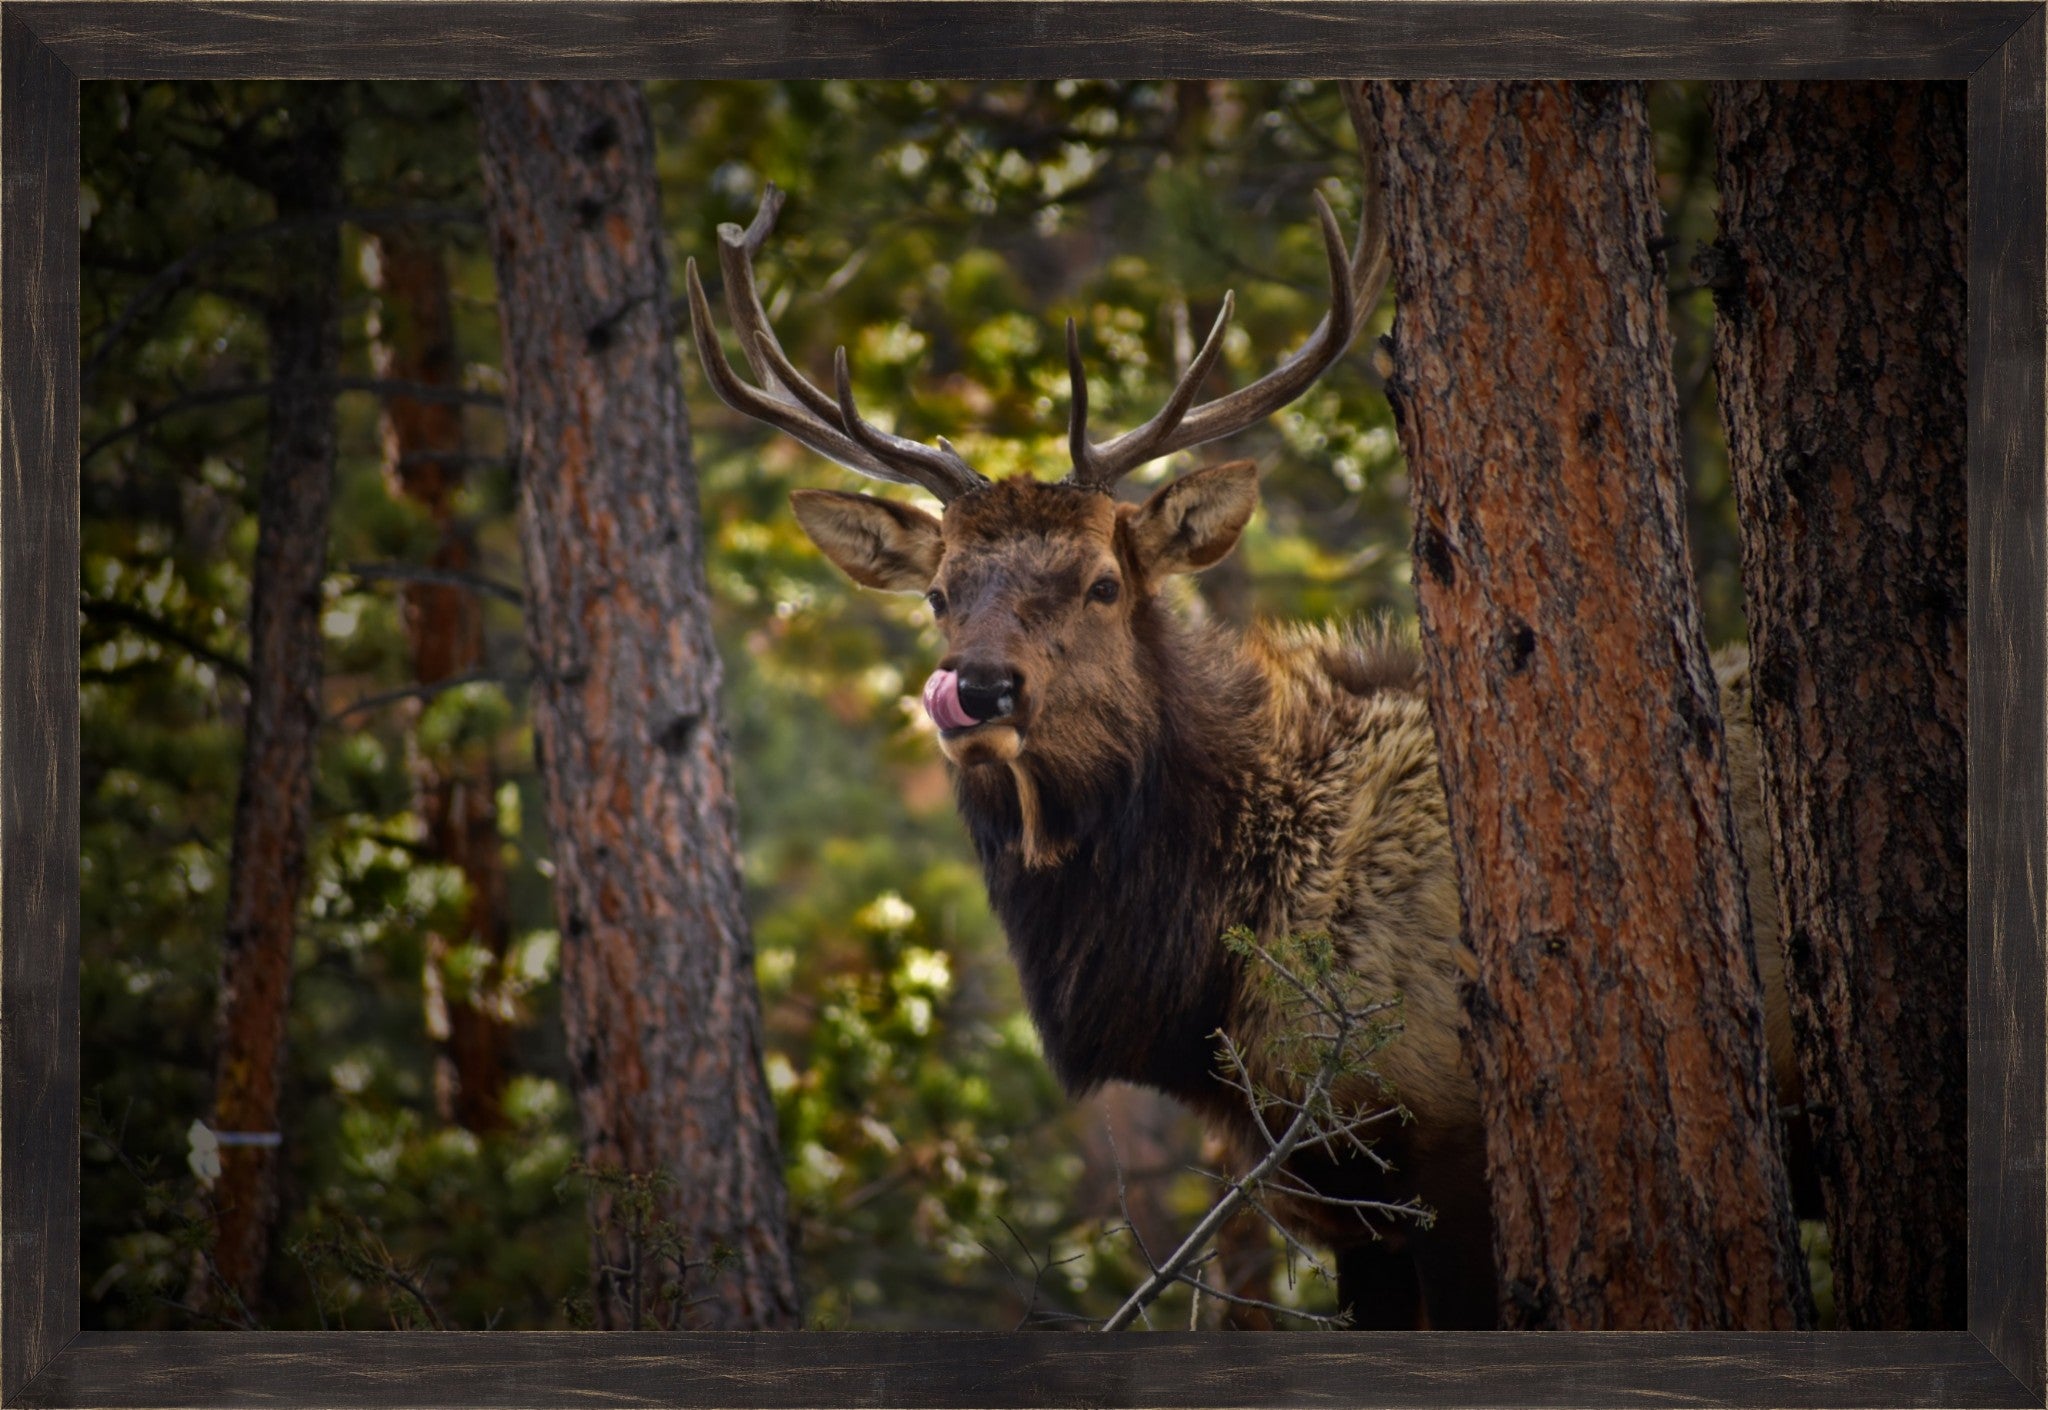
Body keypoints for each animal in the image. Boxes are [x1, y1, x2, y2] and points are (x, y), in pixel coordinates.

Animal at [682, 140, 1803, 1330]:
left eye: (1102, 582)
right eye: (940, 593)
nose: (976, 689)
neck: (1205, 988)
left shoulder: (1443, 1147)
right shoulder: (1334, 1198)